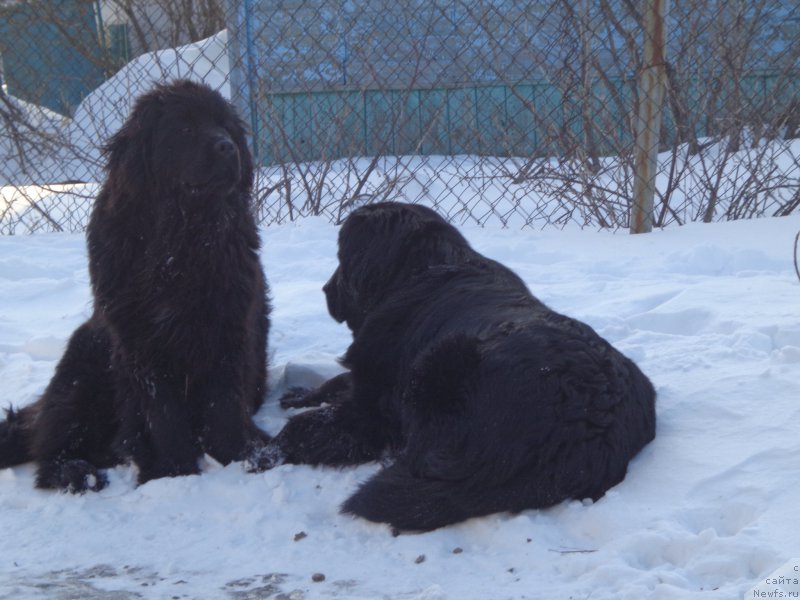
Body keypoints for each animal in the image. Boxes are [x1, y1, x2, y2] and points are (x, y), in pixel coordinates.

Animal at [0, 81, 272, 492]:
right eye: (185, 128)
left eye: (225, 126)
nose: (227, 147)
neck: (182, 240)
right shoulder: (140, 340)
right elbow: (162, 413)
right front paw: (173, 471)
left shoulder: (228, 326)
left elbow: (224, 402)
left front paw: (244, 456)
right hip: (85, 366)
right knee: (52, 445)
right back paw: (76, 472)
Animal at [256, 203, 656, 536]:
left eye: (342, 256)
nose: (325, 289)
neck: (421, 269)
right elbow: (338, 382)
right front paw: (300, 395)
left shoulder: (374, 409)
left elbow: (310, 425)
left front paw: (266, 452)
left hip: (439, 364)